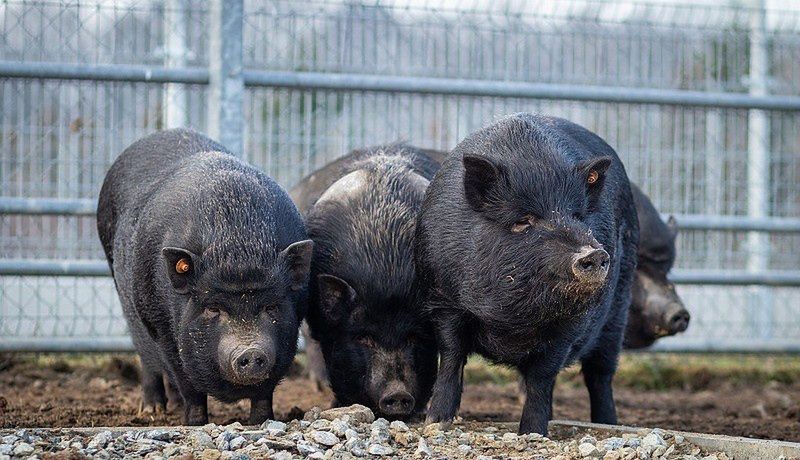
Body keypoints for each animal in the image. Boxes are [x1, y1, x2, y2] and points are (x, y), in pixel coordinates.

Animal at [97, 128, 312, 424]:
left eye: (270, 306)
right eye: (213, 308)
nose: (250, 351)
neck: (236, 245)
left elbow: (264, 391)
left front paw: (261, 422)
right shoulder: (164, 331)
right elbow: (189, 385)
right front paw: (195, 424)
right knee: (148, 361)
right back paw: (153, 410)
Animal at [416, 113, 640, 434]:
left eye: (577, 216)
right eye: (523, 221)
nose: (593, 254)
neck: (513, 319)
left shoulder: (571, 324)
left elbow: (542, 376)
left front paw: (532, 432)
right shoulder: (443, 298)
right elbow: (451, 355)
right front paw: (436, 423)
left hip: (618, 311)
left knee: (600, 373)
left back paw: (607, 423)